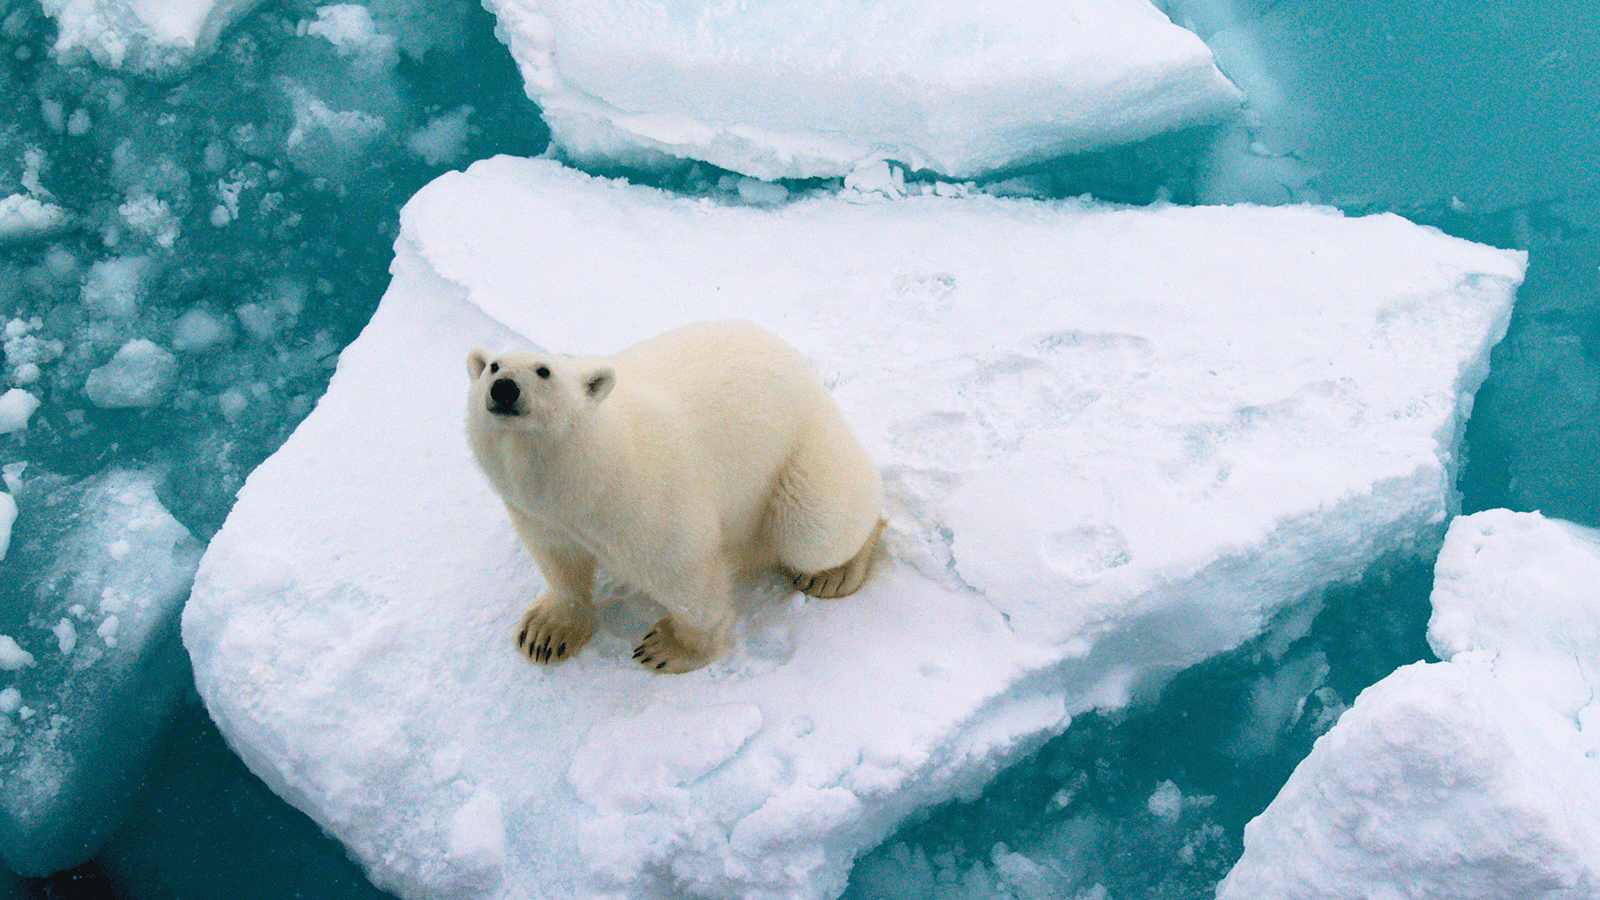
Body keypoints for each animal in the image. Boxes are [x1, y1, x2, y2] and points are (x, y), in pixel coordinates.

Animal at [465, 319, 884, 674]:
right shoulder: (538, 514)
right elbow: (557, 560)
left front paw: (667, 648)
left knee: (816, 527)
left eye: (543, 371)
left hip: (799, 461)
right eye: (493, 367)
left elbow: (685, 575)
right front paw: (545, 633)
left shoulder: (649, 499)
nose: (504, 388)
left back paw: (835, 574)